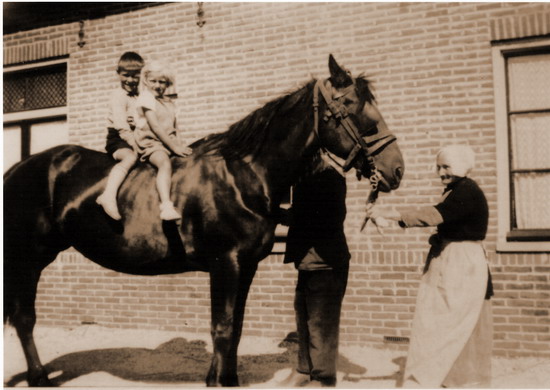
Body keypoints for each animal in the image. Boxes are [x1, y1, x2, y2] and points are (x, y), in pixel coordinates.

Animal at [3, 54, 406, 386]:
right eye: (356, 109)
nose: (396, 170)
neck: (243, 175)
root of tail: (17, 169)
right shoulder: (224, 263)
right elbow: (223, 329)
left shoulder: (245, 266)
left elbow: (235, 329)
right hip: (28, 258)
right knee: (24, 318)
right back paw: (39, 377)